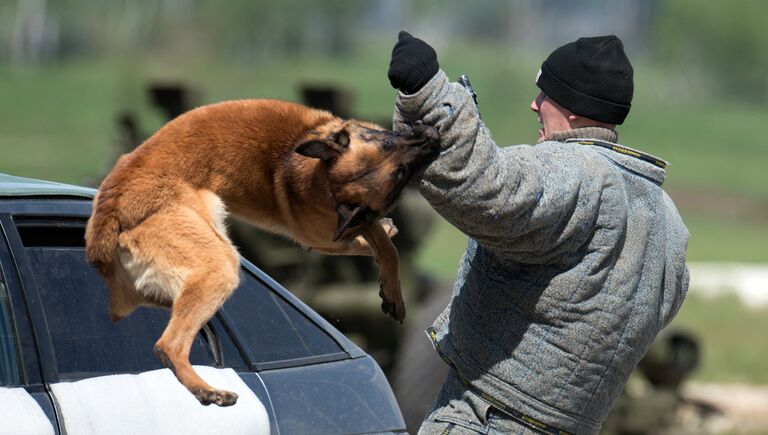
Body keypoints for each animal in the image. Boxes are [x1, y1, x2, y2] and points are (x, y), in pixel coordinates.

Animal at [84, 99, 438, 408]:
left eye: (400, 174)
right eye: (389, 148)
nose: (431, 136)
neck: (314, 171)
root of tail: (109, 206)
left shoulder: (351, 221)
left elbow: (380, 241)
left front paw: (388, 280)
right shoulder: (323, 237)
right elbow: (383, 245)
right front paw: (389, 268)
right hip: (219, 264)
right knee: (168, 344)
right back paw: (208, 391)